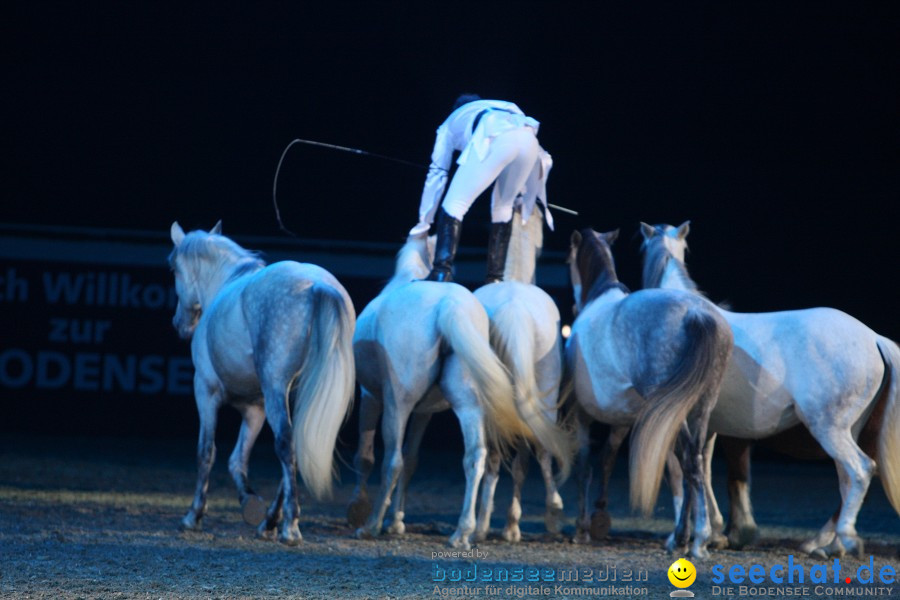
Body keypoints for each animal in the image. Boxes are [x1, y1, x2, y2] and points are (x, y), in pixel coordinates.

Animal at [167, 223, 354, 548]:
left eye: (175, 269)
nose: (181, 324)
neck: (225, 281)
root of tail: (318, 285)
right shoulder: (255, 409)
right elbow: (236, 460)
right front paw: (250, 502)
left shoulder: (205, 391)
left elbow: (207, 452)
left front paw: (194, 515)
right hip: (293, 394)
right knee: (293, 448)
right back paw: (270, 521)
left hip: (276, 388)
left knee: (286, 444)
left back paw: (289, 527)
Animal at [344, 233, 536, 548]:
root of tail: (448, 304)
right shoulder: (425, 413)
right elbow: (412, 460)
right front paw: (396, 522)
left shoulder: (370, 398)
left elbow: (367, 455)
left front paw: (361, 511)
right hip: (468, 405)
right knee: (474, 457)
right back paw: (463, 532)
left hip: (398, 405)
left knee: (392, 461)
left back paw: (370, 525)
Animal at [468, 210, 572, 544]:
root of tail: (515, 309)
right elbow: (524, 462)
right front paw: (512, 525)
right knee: (537, 448)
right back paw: (550, 512)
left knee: (495, 456)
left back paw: (482, 524)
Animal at [568, 229, 736, 556]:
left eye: (568, 260)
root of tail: (697, 314)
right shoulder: (623, 419)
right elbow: (608, 458)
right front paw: (599, 517)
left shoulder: (582, 414)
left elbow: (583, 466)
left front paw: (582, 529)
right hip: (699, 408)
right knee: (693, 462)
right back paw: (685, 537)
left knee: (689, 462)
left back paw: (698, 539)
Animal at [640, 221, 900, 556]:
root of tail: (874, 337)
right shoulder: (708, 426)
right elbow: (702, 470)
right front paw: (713, 533)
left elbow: (686, 474)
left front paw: (684, 538)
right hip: (848, 429)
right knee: (847, 480)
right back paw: (826, 544)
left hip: (829, 428)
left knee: (860, 471)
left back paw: (843, 539)